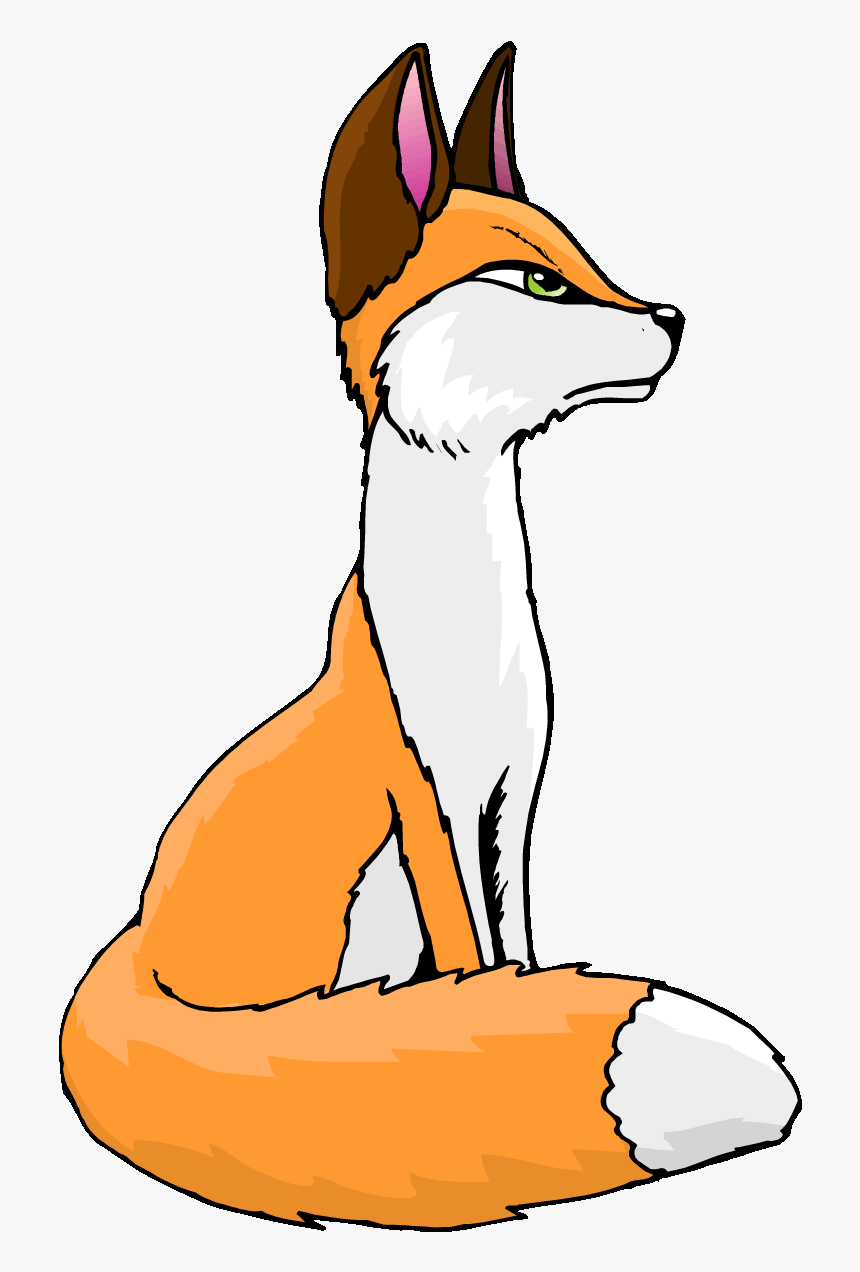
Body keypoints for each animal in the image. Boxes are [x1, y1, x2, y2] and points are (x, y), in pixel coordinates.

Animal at [60, 43, 800, 1231]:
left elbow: (517, 947)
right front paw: (479, 1015)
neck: (470, 633)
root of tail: (133, 948)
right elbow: (474, 950)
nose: (674, 316)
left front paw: (512, 1000)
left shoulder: (512, 791)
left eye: (584, 258)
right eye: (539, 283)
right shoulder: (430, 797)